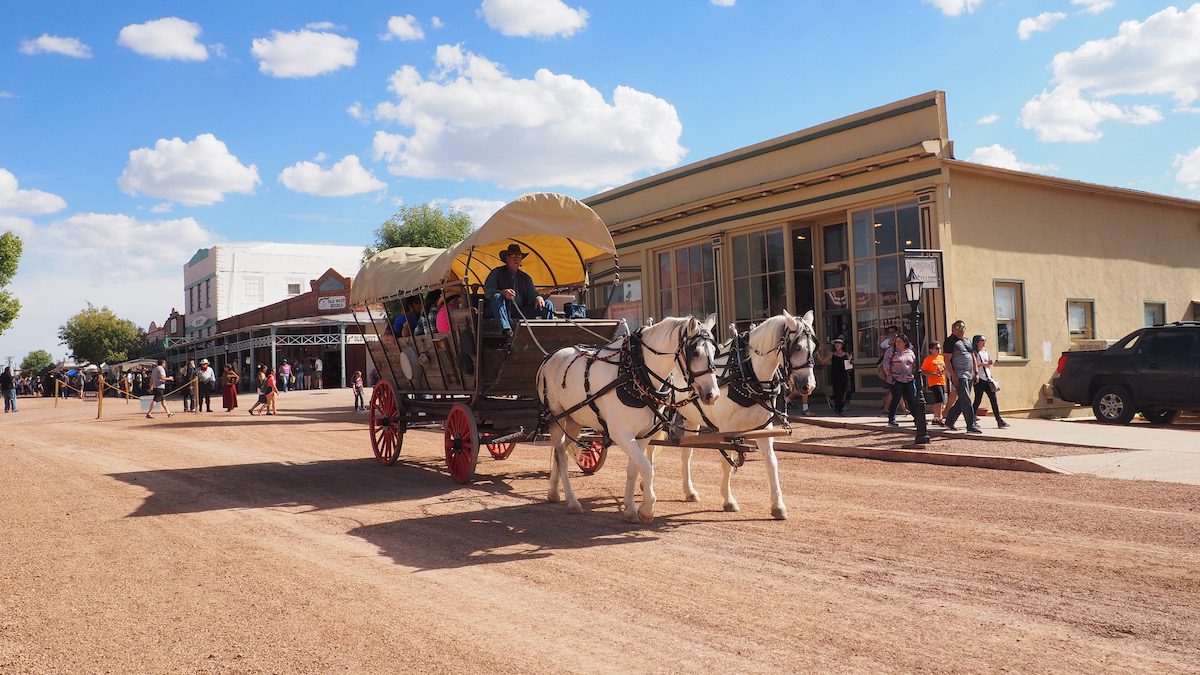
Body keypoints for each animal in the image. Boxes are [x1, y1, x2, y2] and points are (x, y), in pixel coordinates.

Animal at [542, 312, 720, 523]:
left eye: (715, 351)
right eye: (695, 353)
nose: (713, 395)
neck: (635, 372)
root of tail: (550, 357)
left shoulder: (642, 434)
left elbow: (635, 469)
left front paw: (630, 509)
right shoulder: (621, 433)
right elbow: (647, 467)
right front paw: (647, 508)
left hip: (574, 419)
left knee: (558, 451)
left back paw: (553, 492)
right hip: (555, 417)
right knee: (562, 456)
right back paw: (572, 502)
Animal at [662, 307, 820, 516]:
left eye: (814, 347)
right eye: (798, 348)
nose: (808, 386)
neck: (746, 373)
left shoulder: (764, 428)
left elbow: (771, 462)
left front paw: (778, 505)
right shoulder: (726, 429)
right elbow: (726, 464)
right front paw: (728, 500)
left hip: (691, 418)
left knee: (686, 453)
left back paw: (689, 491)